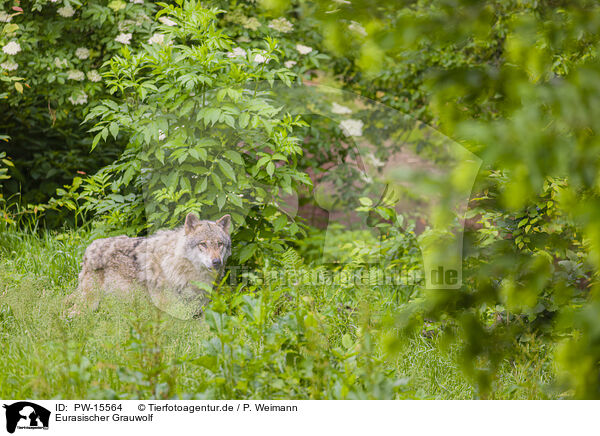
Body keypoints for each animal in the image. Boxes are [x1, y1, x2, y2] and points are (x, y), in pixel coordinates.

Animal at [68, 214, 232, 318]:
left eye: (220, 244)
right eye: (203, 244)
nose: (216, 262)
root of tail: (89, 247)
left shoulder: (200, 308)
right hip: (90, 304)